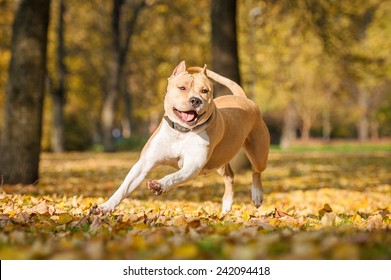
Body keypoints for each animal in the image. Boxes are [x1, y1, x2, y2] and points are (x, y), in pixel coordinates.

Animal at [95, 60, 270, 214]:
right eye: (182, 87)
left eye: (204, 91)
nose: (195, 100)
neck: (182, 132)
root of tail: (244, 99)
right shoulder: (144, 164)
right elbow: (124, 187)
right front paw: (106, 206)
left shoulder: (192, 166)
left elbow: (174, 176)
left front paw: (159, 185)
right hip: (220, 158)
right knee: (229, 175)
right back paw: (227, 203)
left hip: (258, 153)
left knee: (256, 171)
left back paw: (257, 195)